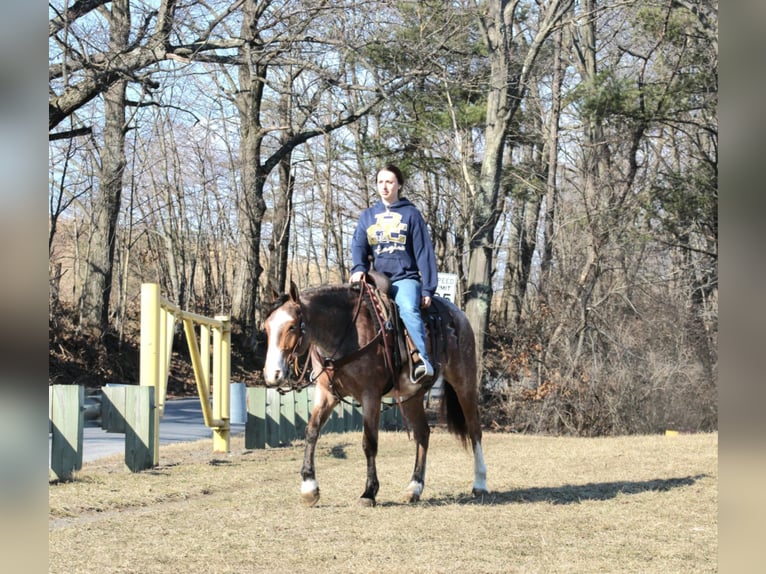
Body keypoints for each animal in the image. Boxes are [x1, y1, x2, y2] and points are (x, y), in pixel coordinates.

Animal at [264, 274, 492, 508]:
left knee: (474, 430)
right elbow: (312, 431)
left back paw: (480, 483)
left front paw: (369, 492)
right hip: (413, 396)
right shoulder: (326, 393)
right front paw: (309, 488)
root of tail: (458, 315)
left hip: (464, 382)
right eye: (266, 327)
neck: (346, 331)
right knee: (422, 434)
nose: (272, 374)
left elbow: (369, 442)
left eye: (292, 327)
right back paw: (414, 487)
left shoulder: (370, 395)